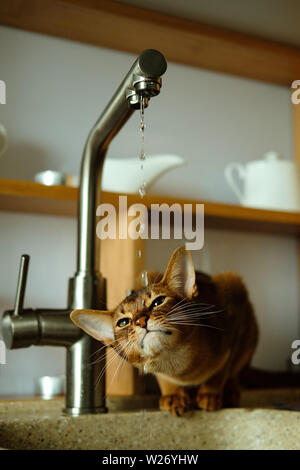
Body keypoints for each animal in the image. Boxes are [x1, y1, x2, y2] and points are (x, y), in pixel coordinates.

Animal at [70, 246, 258, 414]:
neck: (179, 366)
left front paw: (210, 393)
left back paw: (230, 391)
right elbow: (162, 377)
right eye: (123, 322)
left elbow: (223, 368)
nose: (141, 321)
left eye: (158, 301)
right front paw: (173, 394)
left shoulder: (234, 316)